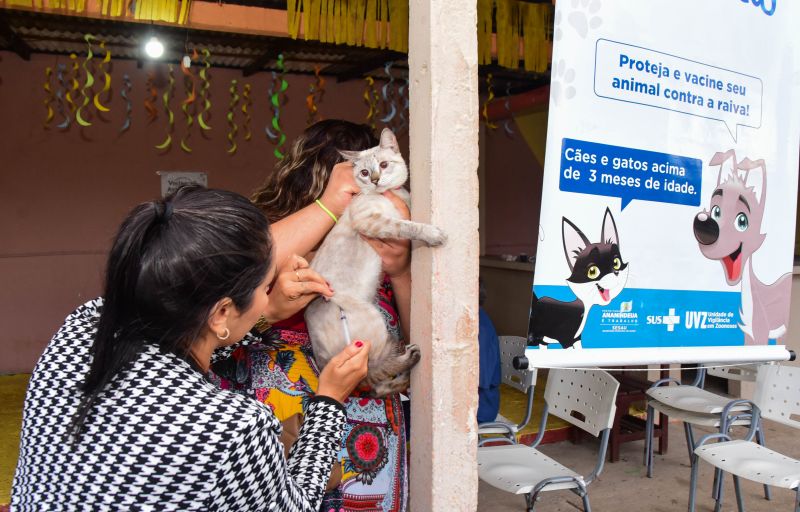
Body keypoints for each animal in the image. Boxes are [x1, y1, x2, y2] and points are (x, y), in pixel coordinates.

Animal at [304, 127, 446, 396]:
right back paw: (409, 358)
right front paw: (435, 234)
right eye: (364, 172)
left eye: (383, 165)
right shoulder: (374, 221)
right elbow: (408, 226)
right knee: (370, 373)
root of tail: (323, 361)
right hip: (372, 322)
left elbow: (409, 215)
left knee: (375, 385)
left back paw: (404, 378)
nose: (375, 180)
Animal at [528, 207, 628, 348]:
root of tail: (537, 301)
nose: (615, 273)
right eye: (592, 271)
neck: (582, 309)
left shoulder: (577, 340)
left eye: (616, 263)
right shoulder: (566, 340)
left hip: (543, 338)